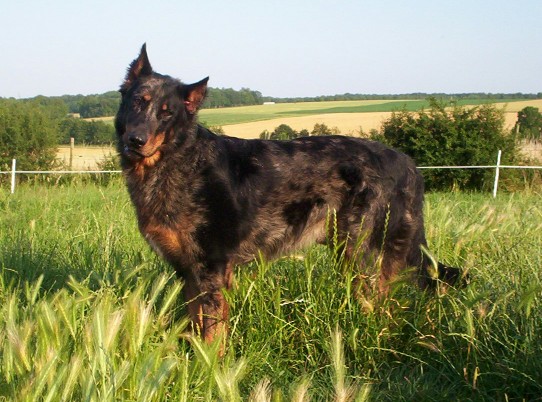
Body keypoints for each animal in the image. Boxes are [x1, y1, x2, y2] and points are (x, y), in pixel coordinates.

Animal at [116, 45, 464, 344]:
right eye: (137, 102)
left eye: (167, 113)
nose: (136, 140)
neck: (179, 159)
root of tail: (405, 161)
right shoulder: (189, 273)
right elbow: (195, 327)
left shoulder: (212, 270)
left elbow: (213, 334)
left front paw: (211, 367)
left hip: (361, 255)